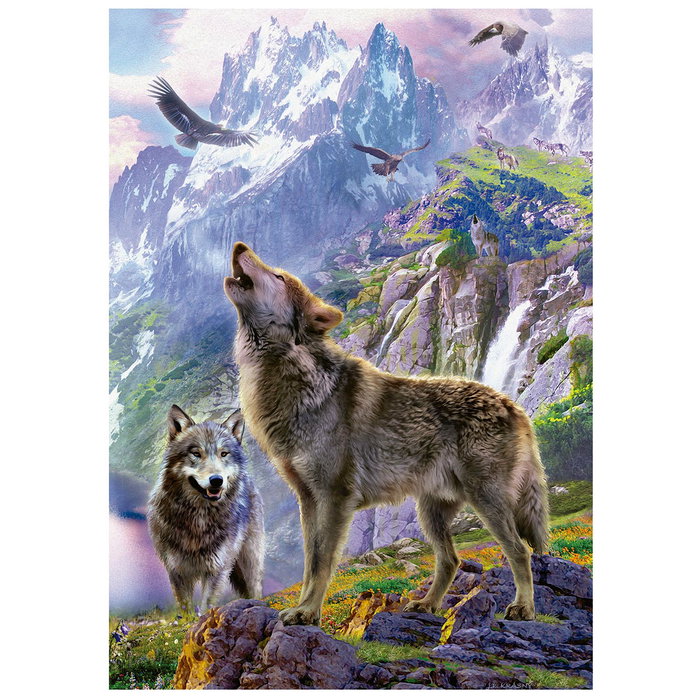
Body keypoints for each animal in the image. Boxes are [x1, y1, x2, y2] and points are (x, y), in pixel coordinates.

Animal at [147, 405, 265, 613]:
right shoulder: (177, 570)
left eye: (224, 454)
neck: (199, 518)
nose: (217, 480)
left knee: (255, 589)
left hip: (248, 563)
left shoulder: (217, 569)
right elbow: (186, 608)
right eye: (196, 453)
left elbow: (206, 605)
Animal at [223, 242, 548, 626]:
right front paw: (304, 609)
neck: (290, 376)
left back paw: (523, 607)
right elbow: (309, 563)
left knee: (519, 550)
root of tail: (515, 406)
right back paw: (427, 604)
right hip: (432, 512)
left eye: (277, 275)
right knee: (451, 559)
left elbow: (322, 562)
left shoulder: (335, 497)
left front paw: (308, 612)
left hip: (486, 501)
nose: (240, 246)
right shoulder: (308, 499)